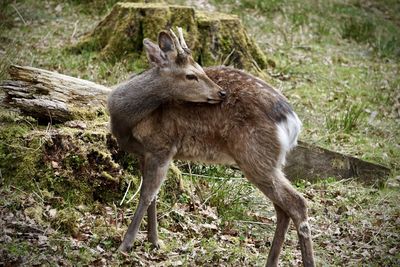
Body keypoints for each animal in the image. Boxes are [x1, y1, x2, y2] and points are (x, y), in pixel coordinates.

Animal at [107, 27, 316, 267]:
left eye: (200, 68)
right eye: (191, 74)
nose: (221, 92)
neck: (127, 119)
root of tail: (293, 122)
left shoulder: (163, 148)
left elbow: (147, 195)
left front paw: (126, 245)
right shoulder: (144, 153)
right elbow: (153, 196)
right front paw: (154, 241)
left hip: (256, 157)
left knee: (296, 203)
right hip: (271, 162)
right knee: (282, 209)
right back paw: (271, 261)